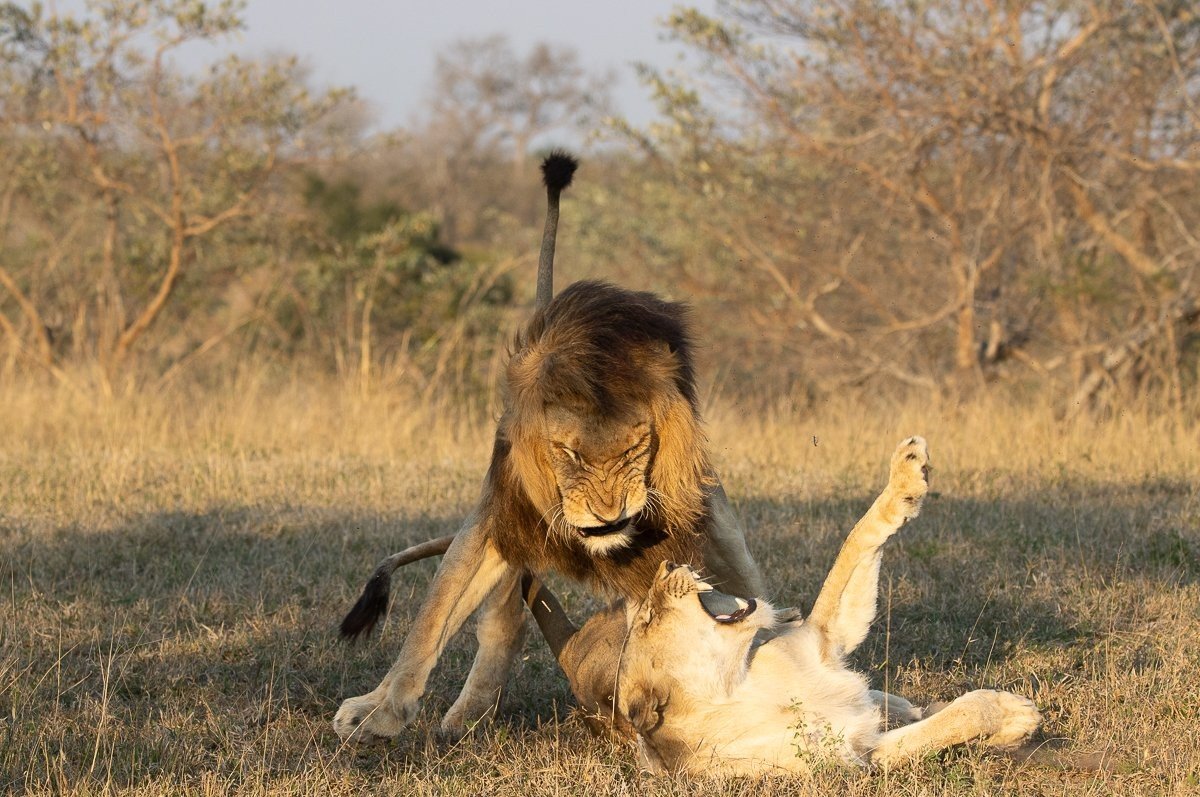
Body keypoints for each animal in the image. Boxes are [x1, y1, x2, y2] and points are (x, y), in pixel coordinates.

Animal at [333, 154, 764, 742]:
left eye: (635, 449)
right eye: (571, 454)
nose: (608, 515)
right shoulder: (497, 517)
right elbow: (433, 619)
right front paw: (382, 711)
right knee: (501, 626)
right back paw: (461, 712)